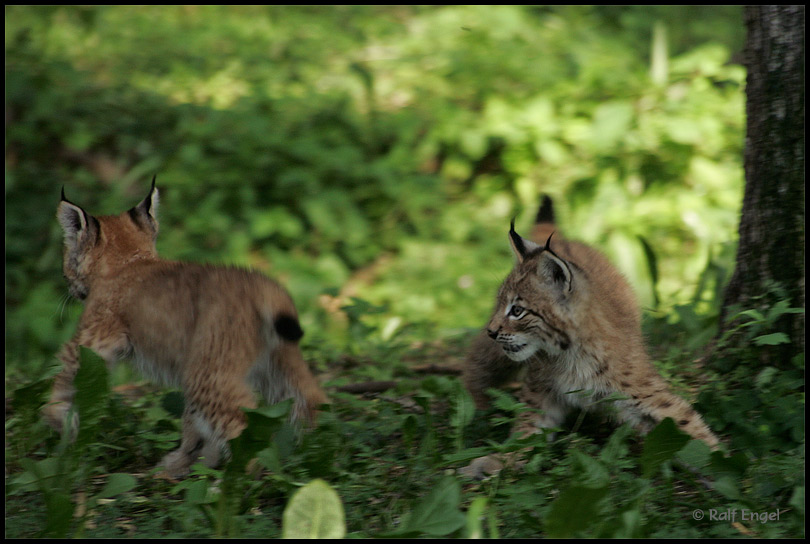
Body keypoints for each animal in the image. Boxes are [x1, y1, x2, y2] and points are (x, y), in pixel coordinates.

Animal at [44, 178, 326, 476]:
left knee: (243, 422)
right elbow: (193, 421)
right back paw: (314, 454)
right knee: (310, 399)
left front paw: (56, 419)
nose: (68, 283)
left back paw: (232, 481)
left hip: (207, 371)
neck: (129, 258)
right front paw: (187, 461)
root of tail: (258, 281)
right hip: (273, 361)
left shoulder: (93, 337)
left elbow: (64, 371)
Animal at [458, 197, 716, 476]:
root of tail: (564, 240)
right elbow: (524, 433)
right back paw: (478, 409)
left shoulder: (638, 387)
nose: (492, 331)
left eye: (517, 311)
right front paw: (496, 461)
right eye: (499, 305)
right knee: (476, 364)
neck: (572, 352)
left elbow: (685, 422)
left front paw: (720, 462)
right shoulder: (539, 390)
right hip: (496, 354)